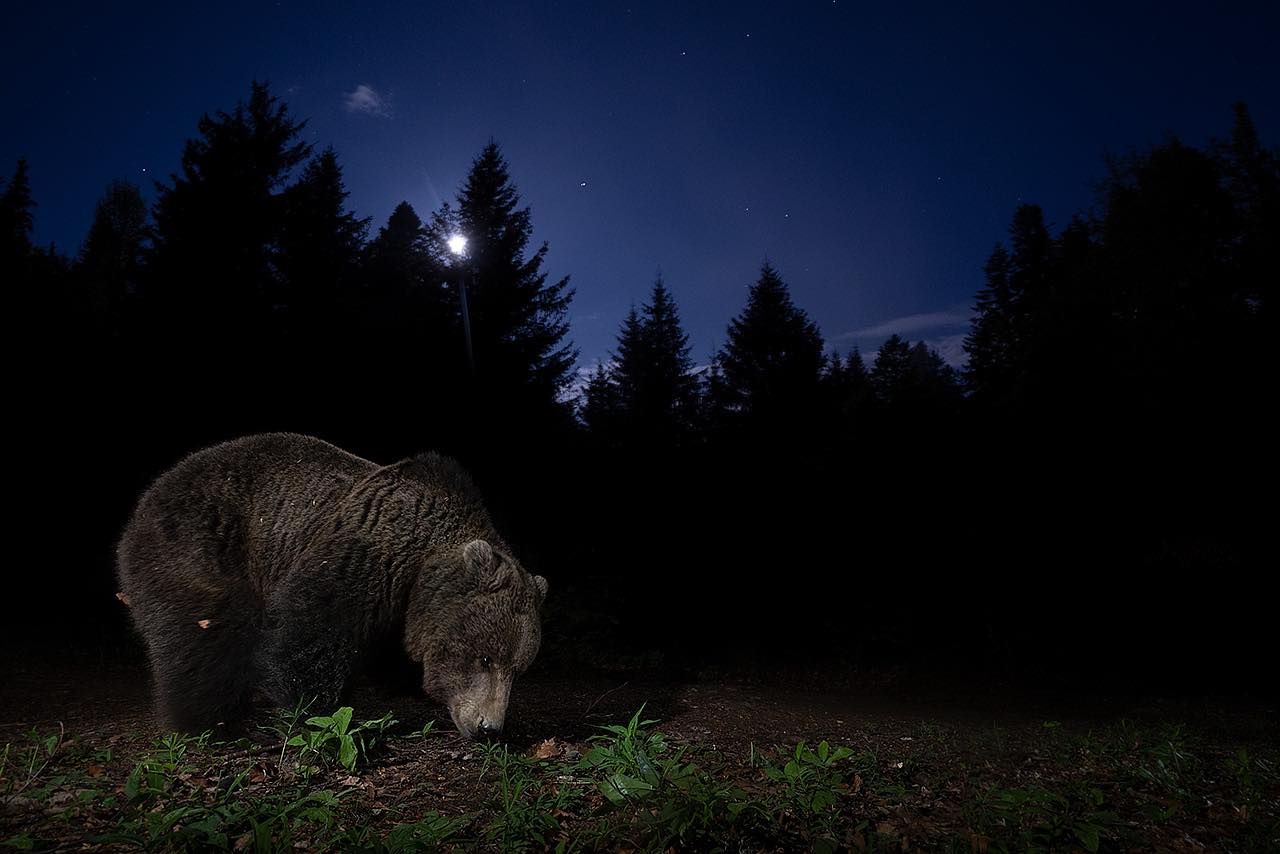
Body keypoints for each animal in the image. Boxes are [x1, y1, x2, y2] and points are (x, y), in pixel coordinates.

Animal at [113, 435, 545, 737]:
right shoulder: (363, 555)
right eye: (485, 658)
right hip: (203, 547)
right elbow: (312, 636)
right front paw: (318, 708)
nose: (489, 727)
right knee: (203, 638)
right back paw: (212, 720)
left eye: (518, 670)